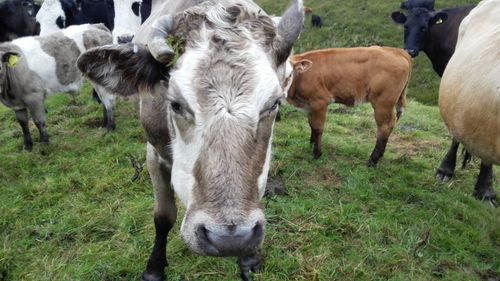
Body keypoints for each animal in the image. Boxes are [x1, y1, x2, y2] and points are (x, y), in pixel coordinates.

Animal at [78, 0, 304, 278]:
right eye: (175, 104)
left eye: (274, 103)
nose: (228, 239)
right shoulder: (154, 154)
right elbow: (163, 215)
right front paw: (154, 268)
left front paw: (248, 259)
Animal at [284, 46, 412, 164]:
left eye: (289, 74)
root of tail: (395, 50)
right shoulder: (309, 105)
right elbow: (311, 125)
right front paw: (311, 144)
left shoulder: (320, 101)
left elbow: (317, 127)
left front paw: (317, 153)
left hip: (383, 102)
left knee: (385, 126)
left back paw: (373, 160)